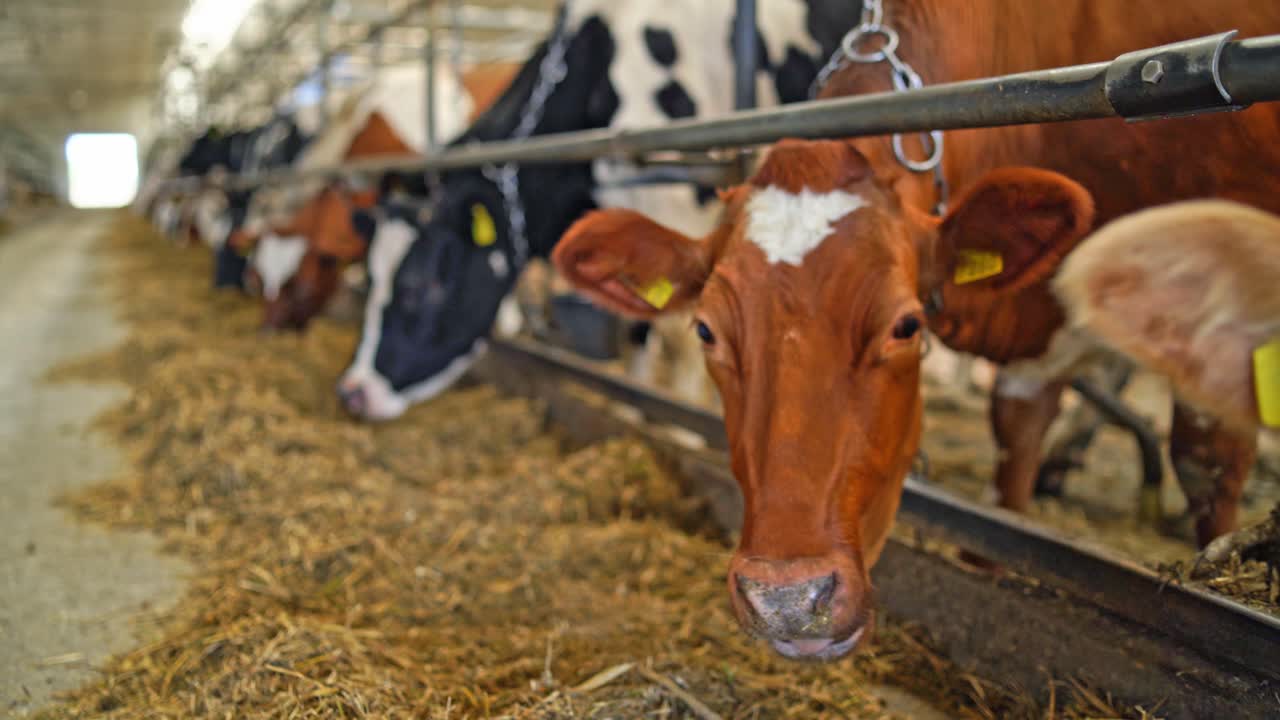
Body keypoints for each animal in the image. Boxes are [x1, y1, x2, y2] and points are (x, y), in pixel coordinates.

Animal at [336, 0, 865, 420]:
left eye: (421, 285)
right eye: (369, 276)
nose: (353, 391)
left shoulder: (678, 205)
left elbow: (681, 336)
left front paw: (684, 420)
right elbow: (638, 326)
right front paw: (635, 406)